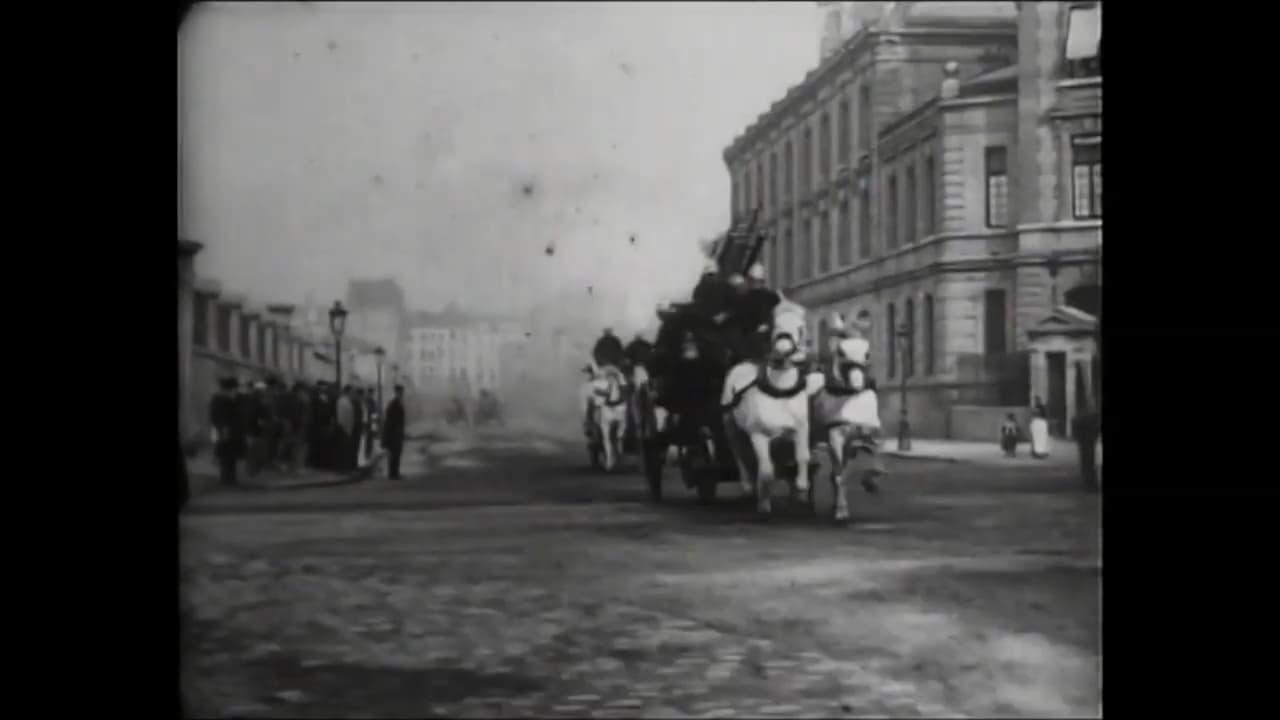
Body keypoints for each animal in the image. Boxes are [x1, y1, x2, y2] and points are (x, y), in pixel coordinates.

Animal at [721, 297, 819, 515]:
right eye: (774, 325)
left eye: (801, 328)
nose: (782, 352)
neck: (780, 391)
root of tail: (743, 363)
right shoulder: (758, 434)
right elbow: (766, 472)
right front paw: (763, 503)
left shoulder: (801, 428)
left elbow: (803, 457)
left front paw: (802, 488)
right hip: (731, 426)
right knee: (740, 454)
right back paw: (748, 486)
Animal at [814, 311, 885, 517]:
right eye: (841, 352)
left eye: (867, 353)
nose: (857, 385)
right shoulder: (835, 437)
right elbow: (840, 475)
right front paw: (841, 511)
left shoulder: (869, 433)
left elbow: (877, 460)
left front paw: (870, 481)